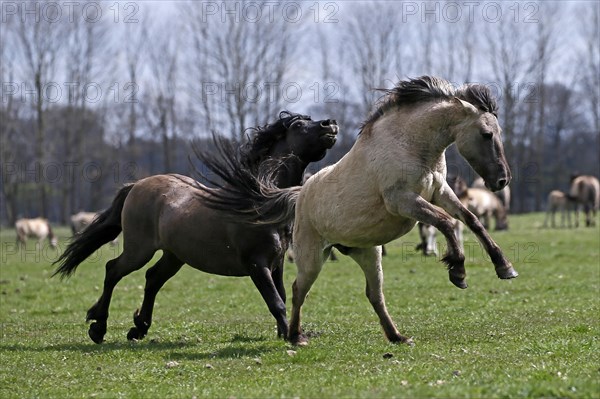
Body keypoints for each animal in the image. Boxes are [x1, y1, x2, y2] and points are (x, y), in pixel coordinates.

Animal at [52, 112, 338, 344]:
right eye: (299, 125)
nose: (330, 123)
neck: (259, 202)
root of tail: (135, 185)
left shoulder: (276, 264)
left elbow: (283, 297)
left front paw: (286, 333)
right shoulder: (257, 264)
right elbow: (276, 302)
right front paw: (292, 337)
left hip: (174, 255)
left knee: (152, 279)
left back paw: (139, 328)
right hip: (139, 250)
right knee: (113, 270)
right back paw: (98, 327)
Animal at [199, 76, 516, 346]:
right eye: (487, 134)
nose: (502, 180)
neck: (409, 144)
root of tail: (301, 194)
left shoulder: (440, 191)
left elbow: (471, 220)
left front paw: (504, 267)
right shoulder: (403, 201)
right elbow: (447, 223)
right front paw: (458, 271)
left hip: (368, 253)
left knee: (374, 295)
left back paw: (397, 337)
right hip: (313, 257)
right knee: (298, 289)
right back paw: (296, 336)